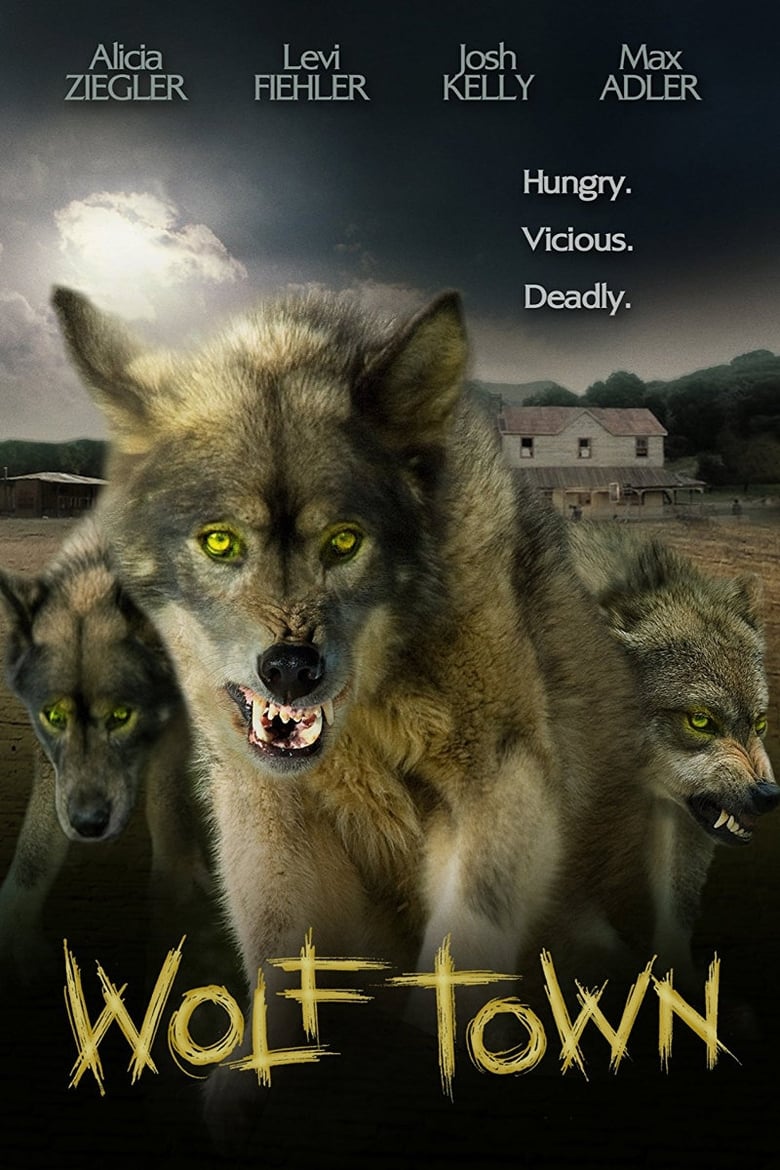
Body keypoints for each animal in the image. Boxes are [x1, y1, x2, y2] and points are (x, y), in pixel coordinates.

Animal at [0, 516, 210, 976]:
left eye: (121, 716)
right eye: (54, 716)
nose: (88, 824)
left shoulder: (177, 730)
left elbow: (168, 810)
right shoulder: (54, 767)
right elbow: (34, 851)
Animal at [51, 286, 658, 1038]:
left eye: (344, 541)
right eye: (220, 542)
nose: (290, 669)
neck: (367, 720)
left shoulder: (500, 778)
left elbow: (458, 964)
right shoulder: (271, 817)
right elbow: (286, 974)